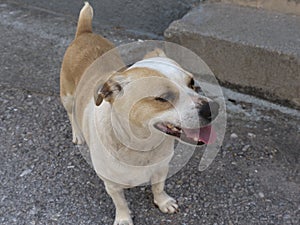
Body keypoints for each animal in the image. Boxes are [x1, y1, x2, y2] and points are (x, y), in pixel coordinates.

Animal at [59, 2, 219, 225]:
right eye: (163, 98)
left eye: (192, 83)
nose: (213, 108)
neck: (142, 146)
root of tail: (85, 32)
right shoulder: (111, 184)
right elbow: (120, 203)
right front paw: (124, 219)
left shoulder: (161, 168)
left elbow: (158, 187)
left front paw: (163, 202)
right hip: (67, 97)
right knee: (70, 114)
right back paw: (77, 134)